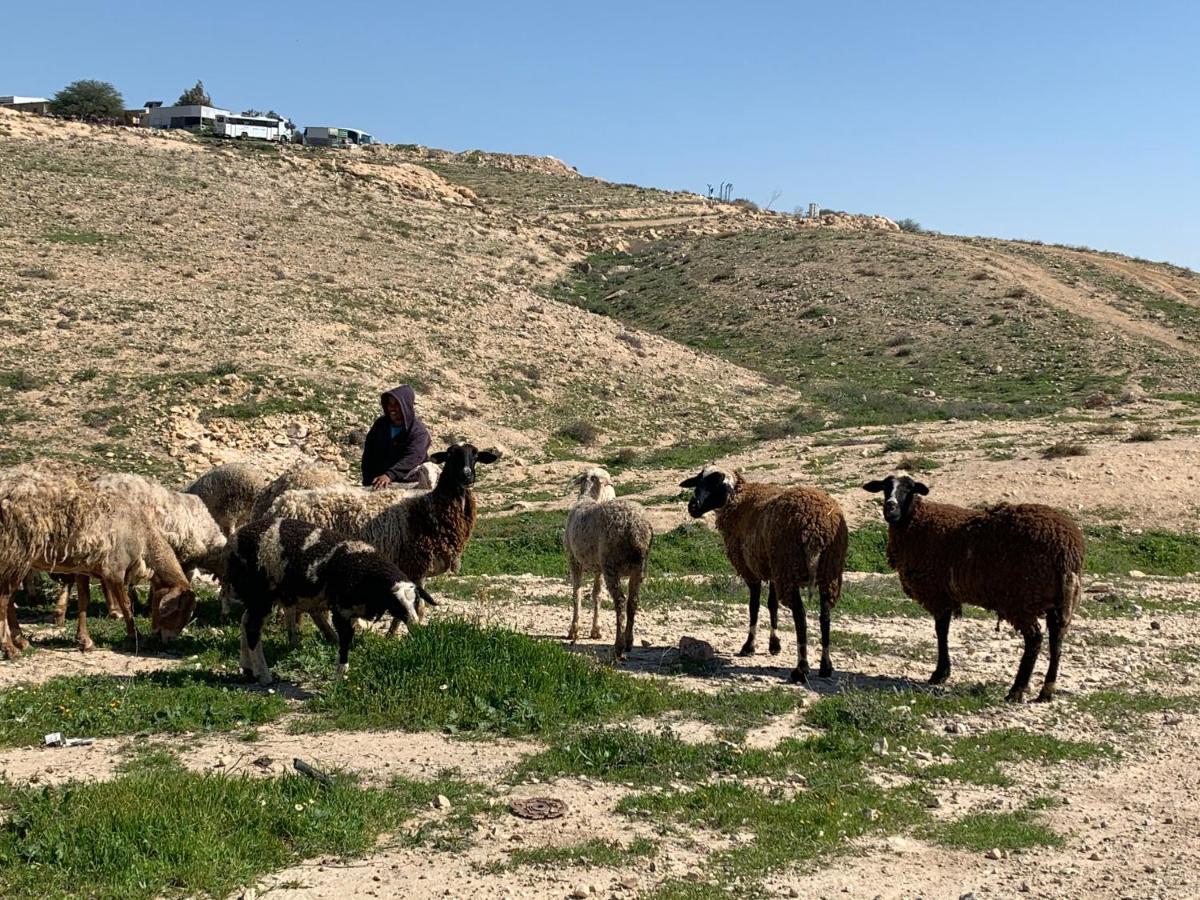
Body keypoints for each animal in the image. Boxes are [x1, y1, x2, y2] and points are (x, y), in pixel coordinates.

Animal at [225, 518, 432, 686]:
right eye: (396, 603)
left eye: (416, 602)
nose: (415, 626)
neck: (366, 570)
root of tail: (236, 539)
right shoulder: (342, 610)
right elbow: (345, 640)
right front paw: (339, 678)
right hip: (260, 593)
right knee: (252, 628)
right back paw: (264, 675)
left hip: (254, 595)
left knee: (245, 622)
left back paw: (247, 668)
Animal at [268, 441, 501, 628]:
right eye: (451, 456)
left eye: (476, 456)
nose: (466, 475)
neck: (429, 508)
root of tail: (282, 504)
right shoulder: (416, 564)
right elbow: (416, 606)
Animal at [564, 468, 652, 657]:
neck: (588, 498)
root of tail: (636, 530)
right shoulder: (598, 567)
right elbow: (596, 594)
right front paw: (595, 630)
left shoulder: (574, 559)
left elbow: (577, 593)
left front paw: (573, 630)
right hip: (638, 567)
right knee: (633, 601)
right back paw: (629, 641)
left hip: (612, 565)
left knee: (620, 601)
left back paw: (618, 646)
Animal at [681, 465, 849, 681]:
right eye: (698, 481)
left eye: (716, 486)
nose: (693, 507)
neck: (739, 500)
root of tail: (816, 528)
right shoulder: (771, 569)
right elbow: (772, 605)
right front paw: (774, 645)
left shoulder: (751, 570)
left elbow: (754, 607)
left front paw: (749, 646)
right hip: (828, 572)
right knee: (825, 616)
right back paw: (826, 666)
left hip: (789, 568)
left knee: (800, 616)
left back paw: (801, 668)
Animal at [864, 475, 1089, 700]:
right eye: (885, 487)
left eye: (909, 489)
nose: (890, 507)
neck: (915, 522)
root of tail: (1068, 550)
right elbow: (943, 630)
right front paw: (942, 672)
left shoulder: (938, 594)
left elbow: (941, 631)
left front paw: (940, 673)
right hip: (1057, 599)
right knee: (1056, 639)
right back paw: (1046, 691)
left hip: (1021, 597)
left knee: (1035, 639)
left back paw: (1016, 691)